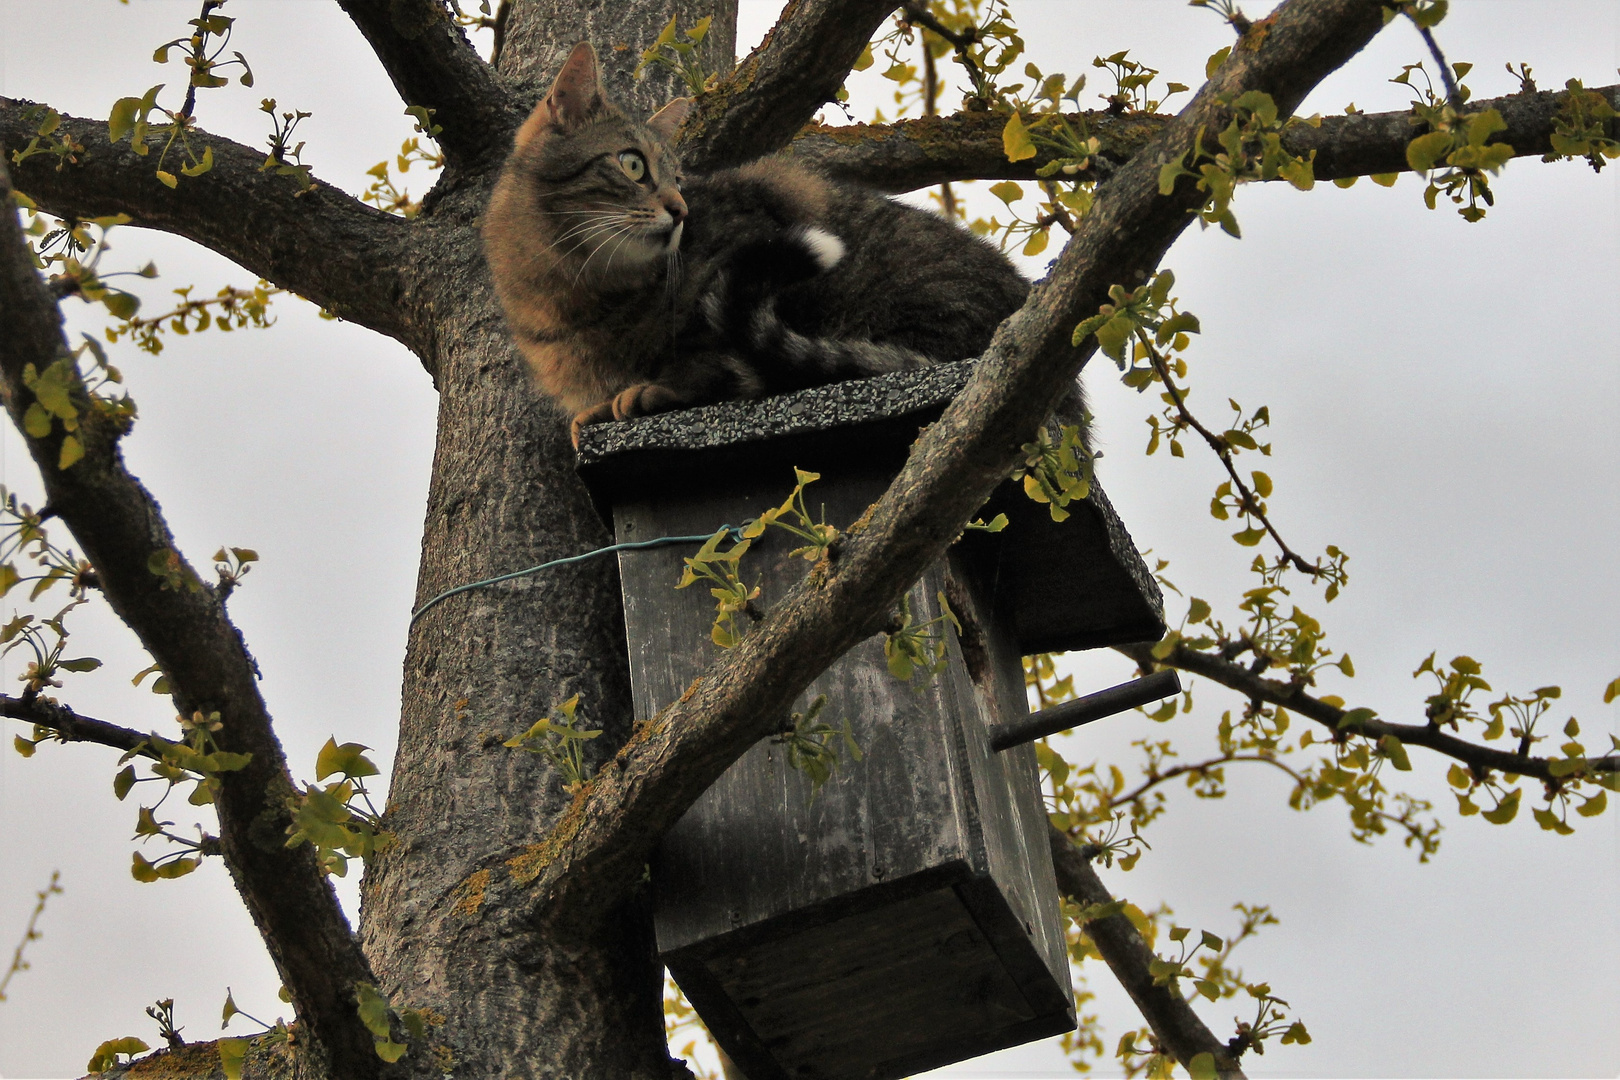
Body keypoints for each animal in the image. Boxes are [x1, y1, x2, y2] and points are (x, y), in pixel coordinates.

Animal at [482, 39, 1036, 443]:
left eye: (679, 181)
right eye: (633, 165)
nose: (681, 212)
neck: (576, 288)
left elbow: (714, 355)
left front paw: (654, 390)